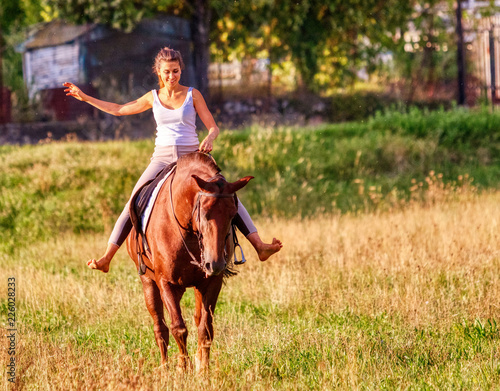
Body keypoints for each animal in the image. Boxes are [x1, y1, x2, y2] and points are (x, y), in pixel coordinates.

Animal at [127, 152, 252, 372]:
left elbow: (205, 328)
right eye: (205, 213)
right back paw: (165, 366)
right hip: (148, 282)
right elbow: (178, 328)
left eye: (233, 214)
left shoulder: (211, 282)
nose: (215, 263)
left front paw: (203, 370)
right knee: (160, 327)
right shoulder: (165, 282)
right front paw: (182, 369)